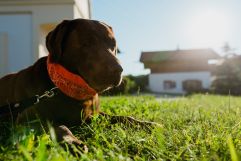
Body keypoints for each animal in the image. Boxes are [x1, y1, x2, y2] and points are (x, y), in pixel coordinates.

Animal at [0, 18, 160, 153]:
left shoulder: (94, 115)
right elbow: (57, 126)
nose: (118, 69)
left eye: (113, 44)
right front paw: (73, 142)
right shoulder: (26, 119)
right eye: (87, 42)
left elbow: (122, 117)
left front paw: (148, 124)